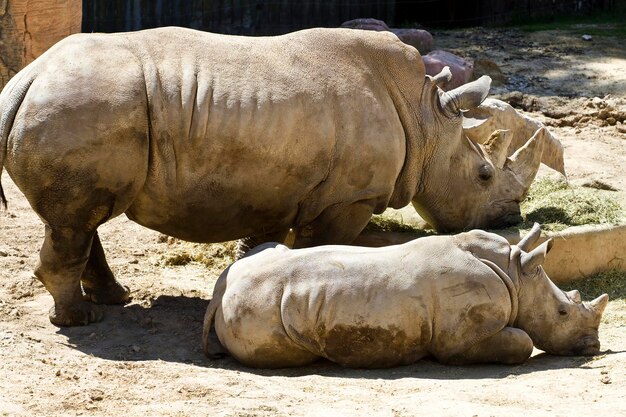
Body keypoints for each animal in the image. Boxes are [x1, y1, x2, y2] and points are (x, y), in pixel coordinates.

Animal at [0, 26, 560, 324]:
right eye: (484, 175)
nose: (509, 217)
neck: (426, 121)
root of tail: (26, 78)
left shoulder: (270, 185)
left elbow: (261, 238)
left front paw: (246, 269)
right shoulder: (348, 199)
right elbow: (320, 247)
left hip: (77, 104)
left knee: (82, 218)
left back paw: (112, 299)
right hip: (82, 103)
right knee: (76, 219)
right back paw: (79, 319)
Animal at [204, 224, 604, 368]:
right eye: (562, 313)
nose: (594, 347)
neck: (516, 275)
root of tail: (217, 295)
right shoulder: (461, 340)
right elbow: (522, 342)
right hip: (257, 308)